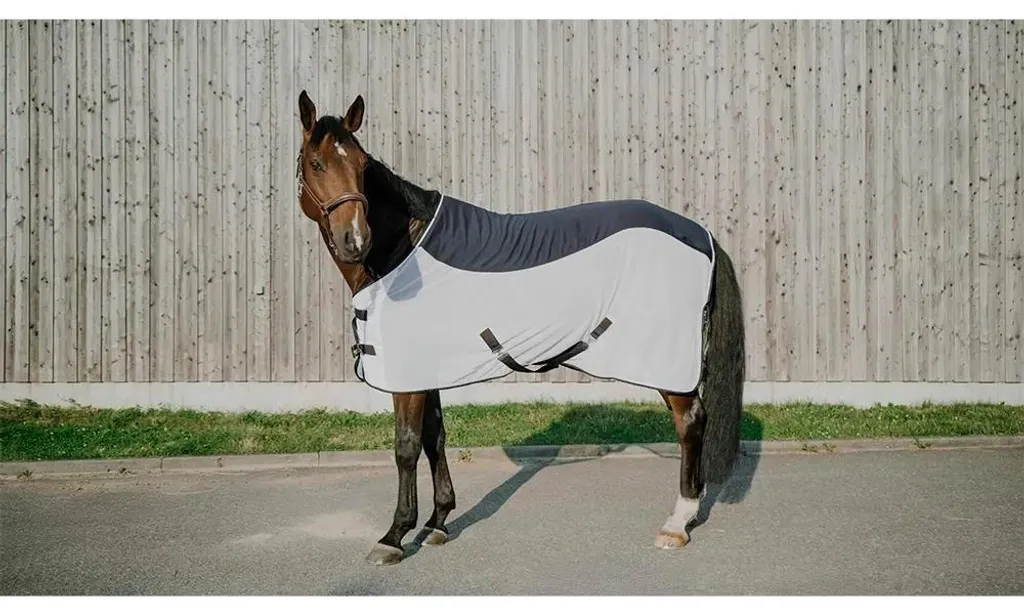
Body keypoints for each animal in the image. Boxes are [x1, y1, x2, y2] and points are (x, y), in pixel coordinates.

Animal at [295, 90, 745, 566]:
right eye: (316, 163)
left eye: (363, 165)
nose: (355, 240)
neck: (404, 247)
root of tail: (700, 233)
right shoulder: (426, 371)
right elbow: (436, 438)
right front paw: (438, 522)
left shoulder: (407, 378)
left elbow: (406, 447)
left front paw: (395, 535)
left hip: (667, 360)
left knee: (690, 422)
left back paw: (678, 523)